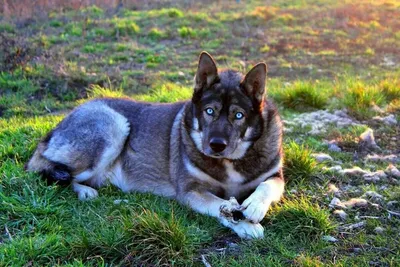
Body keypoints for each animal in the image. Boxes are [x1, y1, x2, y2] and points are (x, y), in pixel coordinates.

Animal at [26, 51, 284, 239]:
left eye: (238, 115)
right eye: (210, 111)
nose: (216, 145)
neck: (230, 161)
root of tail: (62, 121)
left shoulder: (275, 175)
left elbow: (267, 186)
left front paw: (254, 205)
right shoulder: (190, 191)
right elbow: (220, 205)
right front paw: (244, 224)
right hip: (113, 126)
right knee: (46, 170)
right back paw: (84, 191)